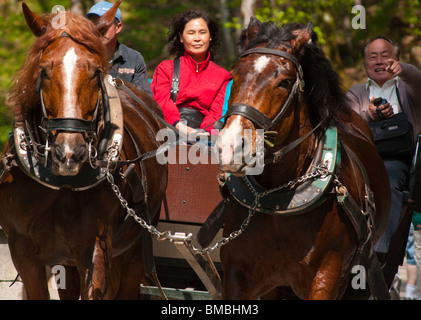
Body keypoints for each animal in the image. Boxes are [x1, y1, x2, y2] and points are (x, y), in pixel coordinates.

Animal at [0, 1, 167, 298]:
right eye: (44, 70)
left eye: (95, 71)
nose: (70, 152)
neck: (60, 185)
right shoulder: (23, 251)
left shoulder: (96, 249)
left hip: (136, 249)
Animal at [217, 18, 390, 300]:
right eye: (234, 75)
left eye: (285, 82)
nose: (231, 146)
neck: (278, 199)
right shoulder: (236, 273)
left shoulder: (326, 276)